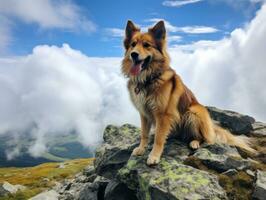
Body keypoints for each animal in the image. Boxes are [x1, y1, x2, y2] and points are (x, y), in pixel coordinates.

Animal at [121, 19, 256, 166]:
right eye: (133, 44)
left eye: (146, 45)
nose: (134, 54)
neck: (148, 79)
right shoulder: (144, 113)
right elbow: (144, 134)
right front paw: (141, 149)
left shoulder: (163, 114)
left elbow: (159, 138)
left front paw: (154, 156)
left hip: (193, 112)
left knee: (204, 138)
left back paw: (194, 142)